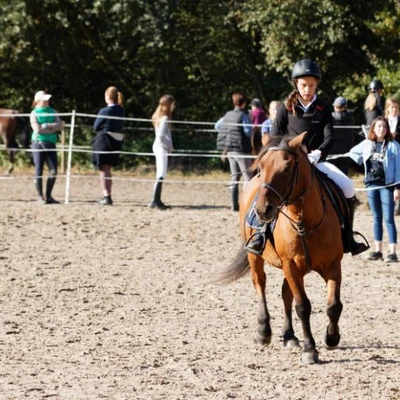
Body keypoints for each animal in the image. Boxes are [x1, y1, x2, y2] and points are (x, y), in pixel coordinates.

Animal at [219, 133, 344, 364]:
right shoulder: (290, 265)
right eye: (261, 167)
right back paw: (263, 332)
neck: (304, 221)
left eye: (287, 169)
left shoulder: (332, 265)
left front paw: (331, 338)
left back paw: (290, 336)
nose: (263, 210)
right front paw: (310, 349)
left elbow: (333, 305)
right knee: (260, 284)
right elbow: (303, 306)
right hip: (256, 258)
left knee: (286, 293)